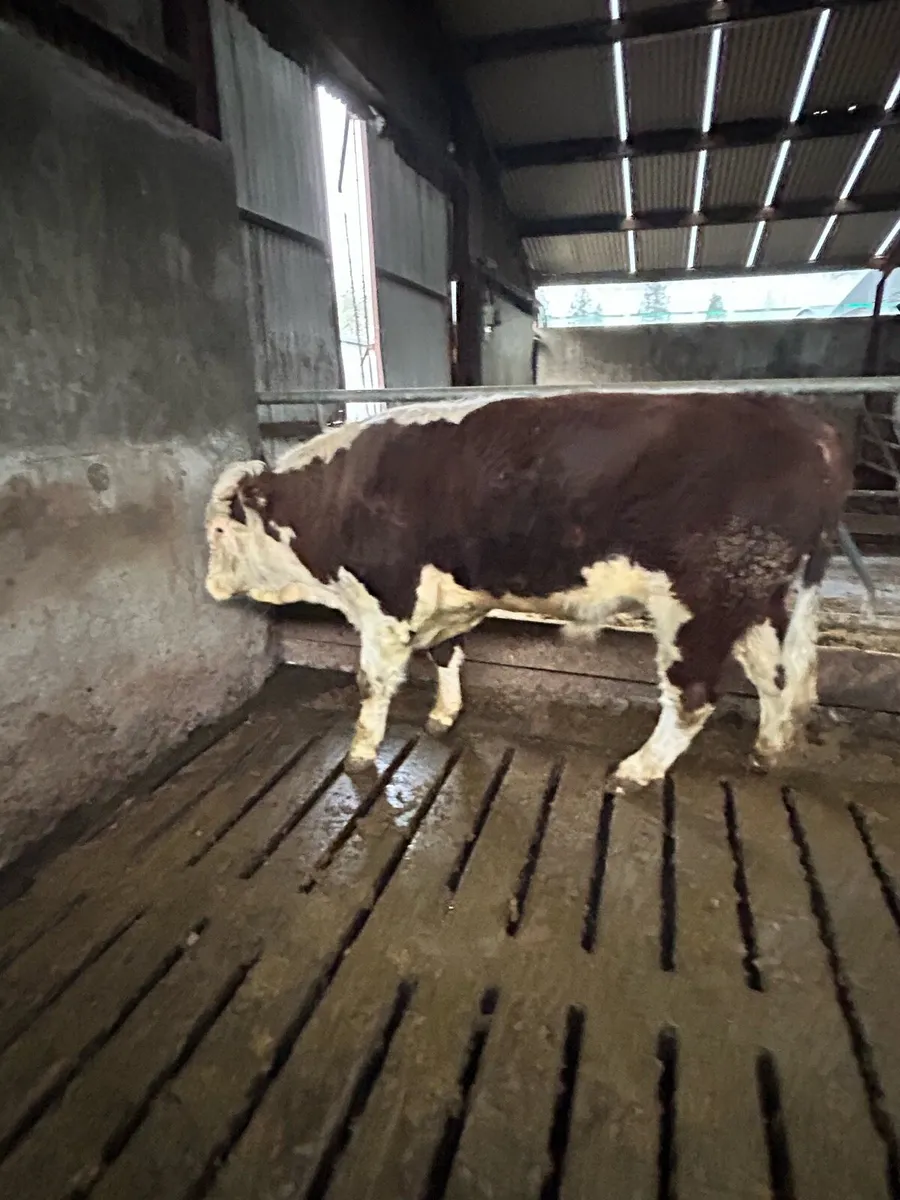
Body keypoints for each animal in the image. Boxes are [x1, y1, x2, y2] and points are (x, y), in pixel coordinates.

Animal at [204, 391, 866, 792]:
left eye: (217, 529)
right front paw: (444, 715)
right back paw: (769, 751)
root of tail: (812, 425)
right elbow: (446, 655)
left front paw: (361, 755)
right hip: (765, 601)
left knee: (693, 696)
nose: (209, 586)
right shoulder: (451, 599)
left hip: (699, 606)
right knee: (780, 678)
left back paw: (637, 771)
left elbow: (371, 683)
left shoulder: (386, 602)